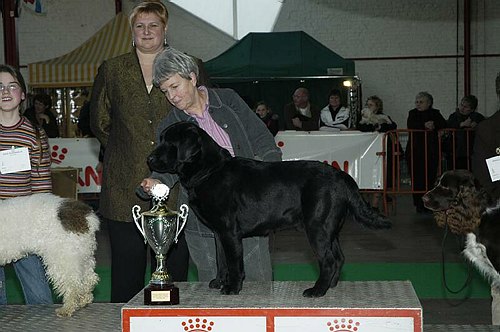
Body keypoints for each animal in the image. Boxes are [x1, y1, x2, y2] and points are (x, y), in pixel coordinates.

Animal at [147, 122, 390, 298]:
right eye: (161, 139)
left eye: (169, 142)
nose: (149, 159)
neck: (210, 171)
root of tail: (342, 176)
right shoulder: (218, 233)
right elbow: (221, 259)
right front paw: (219, 281)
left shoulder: (229, 231)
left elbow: (234, 262)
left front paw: (232, 287)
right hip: (330, 229)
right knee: (338, 257)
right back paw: (330, 286)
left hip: (317, 227)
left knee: (329, 260)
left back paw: (317, 290)